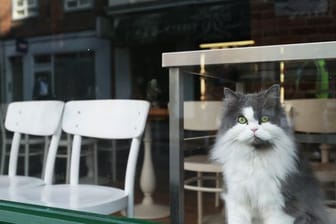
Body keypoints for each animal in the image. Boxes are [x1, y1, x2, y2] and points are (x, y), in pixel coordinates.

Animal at [210, 84, 330, 224]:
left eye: (265, 119)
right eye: (241, 120)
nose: (254, 129)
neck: (255, 158)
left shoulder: (279, 205)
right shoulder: (237, 200)